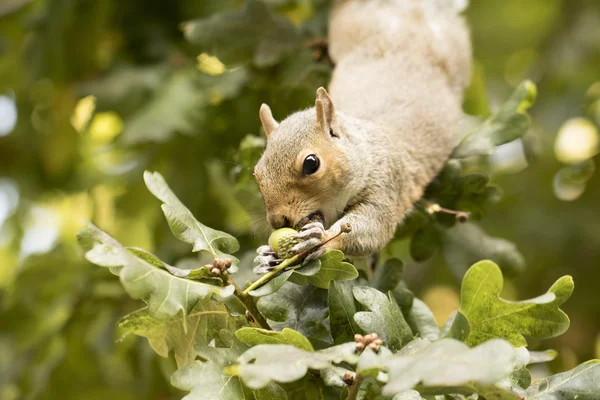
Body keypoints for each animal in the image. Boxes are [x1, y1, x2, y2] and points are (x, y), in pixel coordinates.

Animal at [251, 0, 472, 270]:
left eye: (311, 163)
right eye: (257, 173)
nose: (277, 220)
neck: (365, 150)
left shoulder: (386, 183)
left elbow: (374, 229)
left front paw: (320, 238)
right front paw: (266, 257)